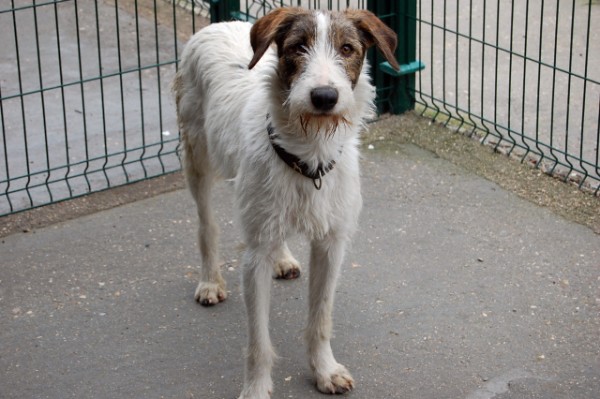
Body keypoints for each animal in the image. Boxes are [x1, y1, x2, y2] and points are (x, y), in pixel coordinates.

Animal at [173, 7, 398, 399]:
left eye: (347, 48)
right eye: (297, 47)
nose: (324, 96)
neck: (308, 156)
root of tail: (218, 23)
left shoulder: (331, 245)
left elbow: (320, 319)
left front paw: (324, 371)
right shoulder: (255, 258)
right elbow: (258, 342)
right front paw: (256, 388)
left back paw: (282, 259)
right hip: (195, 157)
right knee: (206, 224)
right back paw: (210, 281)